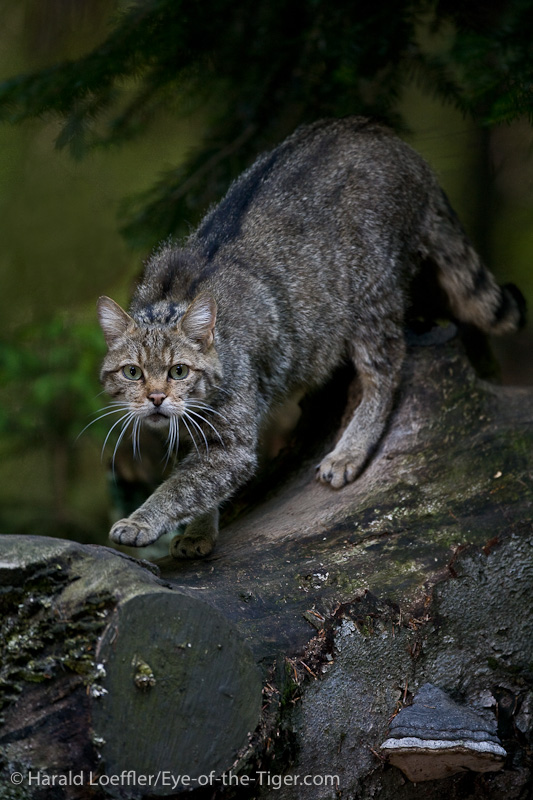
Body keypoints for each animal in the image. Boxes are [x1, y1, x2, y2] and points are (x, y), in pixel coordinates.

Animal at [96, 117, 524, 556]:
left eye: (178, 371)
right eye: (132, 373)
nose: (156, 398)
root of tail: (381, 133)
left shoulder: (233, 444)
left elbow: (183, 486)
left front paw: (141, 521)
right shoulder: (195, 433)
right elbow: (201, 485)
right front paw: (199, 532)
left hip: (372, 296)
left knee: (385, 374)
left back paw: (350, 450)